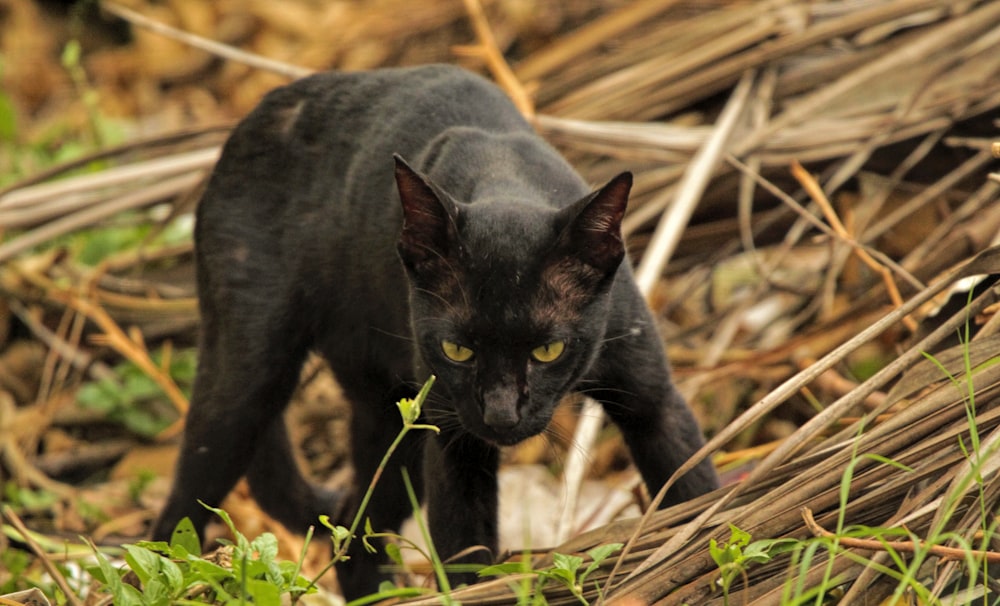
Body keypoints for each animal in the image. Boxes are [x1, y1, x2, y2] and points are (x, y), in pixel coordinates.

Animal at [150, 65, 720, 600]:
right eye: (457, 349)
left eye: (548, 349)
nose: (500, 414)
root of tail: (254, 117)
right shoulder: (455, 444)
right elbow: (464, 554)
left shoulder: (652, 398)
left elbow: (694, 486)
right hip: (246, 383)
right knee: (177, 517)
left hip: (389, 420)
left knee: (357, 527)